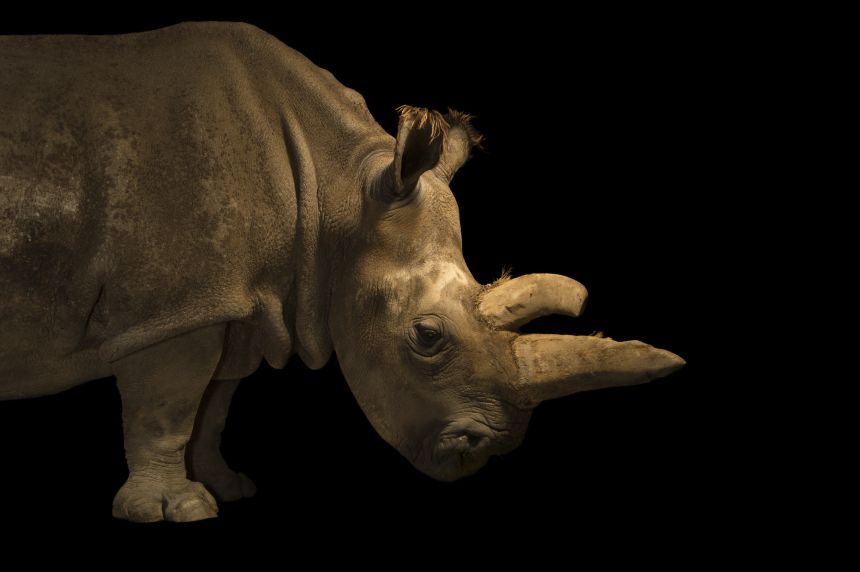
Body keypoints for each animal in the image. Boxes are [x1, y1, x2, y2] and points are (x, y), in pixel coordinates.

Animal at [0, 22, 684, 522]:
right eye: (427, 336)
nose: (486, 449)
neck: (334, 193)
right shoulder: (174, 306)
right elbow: (168, 405)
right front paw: (177, 510)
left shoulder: (235, 301)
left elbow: (213, 401)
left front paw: (228, 486)